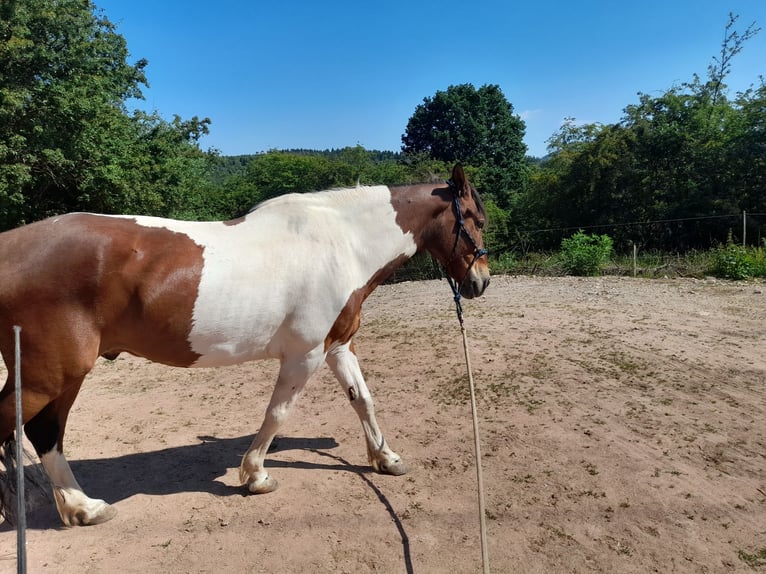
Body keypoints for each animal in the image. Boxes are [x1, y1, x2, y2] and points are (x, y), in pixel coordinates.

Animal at [0, 162, 492, 528]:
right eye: (477, 220)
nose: (480, 282)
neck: (342, 244)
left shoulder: (336, 347)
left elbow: (362, 400)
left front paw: (386, 458)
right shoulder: (305, 355)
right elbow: (278, 413)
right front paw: (255, 475)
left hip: (61, 377)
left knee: (45, 434)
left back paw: (82, 507)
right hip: (51, 376)